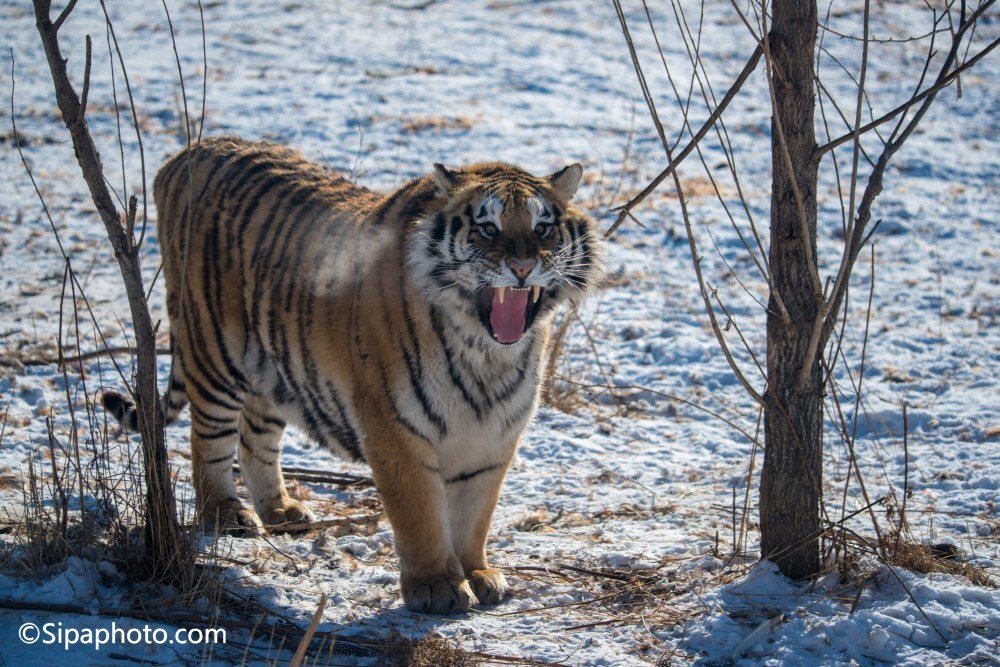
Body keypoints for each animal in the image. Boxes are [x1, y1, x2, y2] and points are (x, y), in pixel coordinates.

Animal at [101, 137, 604, 616]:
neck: (486, 355)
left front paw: (478, 573)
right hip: (212, 351)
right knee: (209, 440)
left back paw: (280, 509)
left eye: (543, 228)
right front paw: (436, 587)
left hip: (271, 362)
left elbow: (474, 515)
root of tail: (186, 154)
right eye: (487, 228)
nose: (522, 268)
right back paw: (226, 513)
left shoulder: (494, 436)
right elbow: (421, 515)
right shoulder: (397, 429)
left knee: (255, 438)